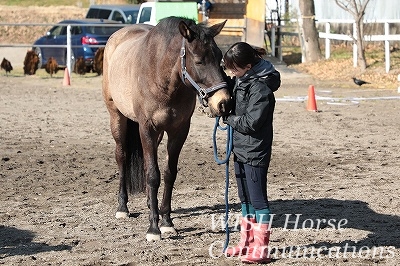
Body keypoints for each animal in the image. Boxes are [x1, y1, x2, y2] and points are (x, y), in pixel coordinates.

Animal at [102, 16, 231, 241]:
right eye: (199, 61)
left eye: (220, 59)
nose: (223, 103)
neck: (162, 77)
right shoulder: (147, 129)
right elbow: (154, 176)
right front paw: (153, 228)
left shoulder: (179, 131)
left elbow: (169, 173)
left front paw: (166, 222)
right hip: (117, 117)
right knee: (122, 156)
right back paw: (122, 207)